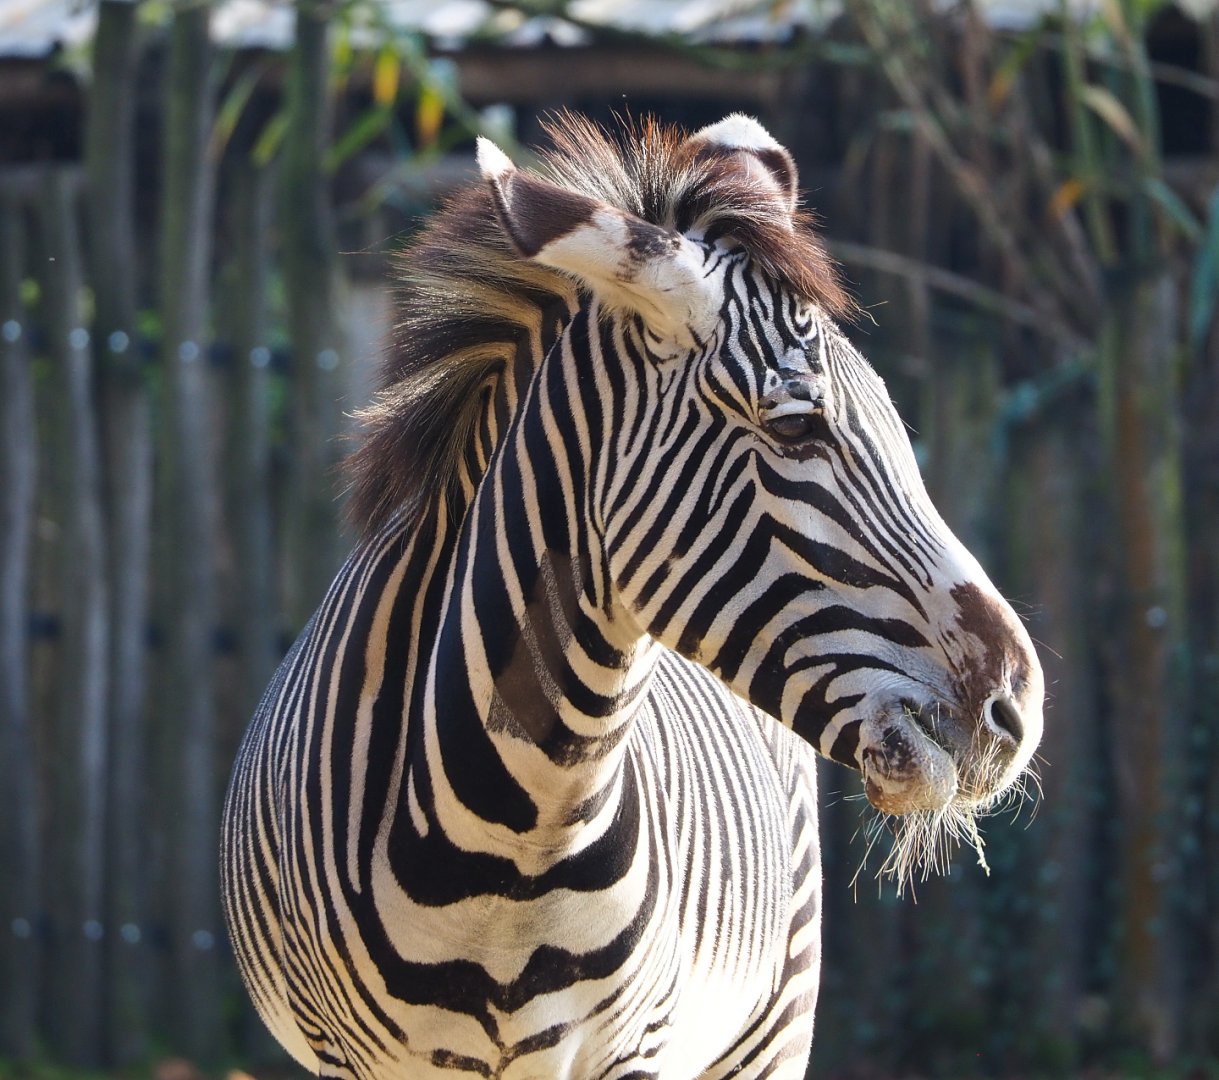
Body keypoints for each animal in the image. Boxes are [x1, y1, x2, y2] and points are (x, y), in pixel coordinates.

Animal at [221, 113, 1044, 1079]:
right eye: (796, 427)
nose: (1015, 708)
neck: (510, 848)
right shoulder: (347, 1058)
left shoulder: (636, 1049)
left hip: (774, 1019)